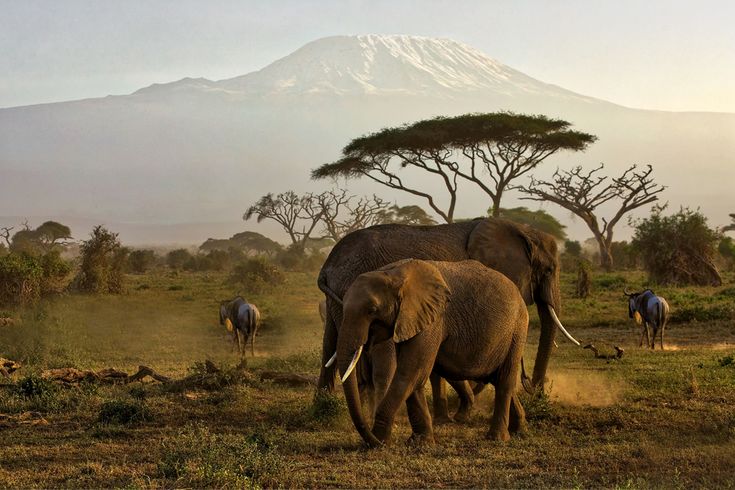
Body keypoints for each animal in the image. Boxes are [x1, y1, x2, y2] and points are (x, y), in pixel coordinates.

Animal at [320, 218, 576, 422]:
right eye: (549, 270)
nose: (533, 386)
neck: (522, 230)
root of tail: (326, 265)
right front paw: (462, 407)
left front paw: (449, 413)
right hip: (350, 289)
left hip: (338, 299)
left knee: (331, 347)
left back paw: (324, 409)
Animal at [336, 258, 532, 446]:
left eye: (372, 310)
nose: (372, 441)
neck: (394, 273)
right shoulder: (409, 320)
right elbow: (414, 377)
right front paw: (419, 442)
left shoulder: (432, 320)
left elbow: (411, 373)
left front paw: (380, 440)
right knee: (495, 378)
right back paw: (519, 430)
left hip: (517, 329)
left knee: (504, 381)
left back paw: (497, 438)